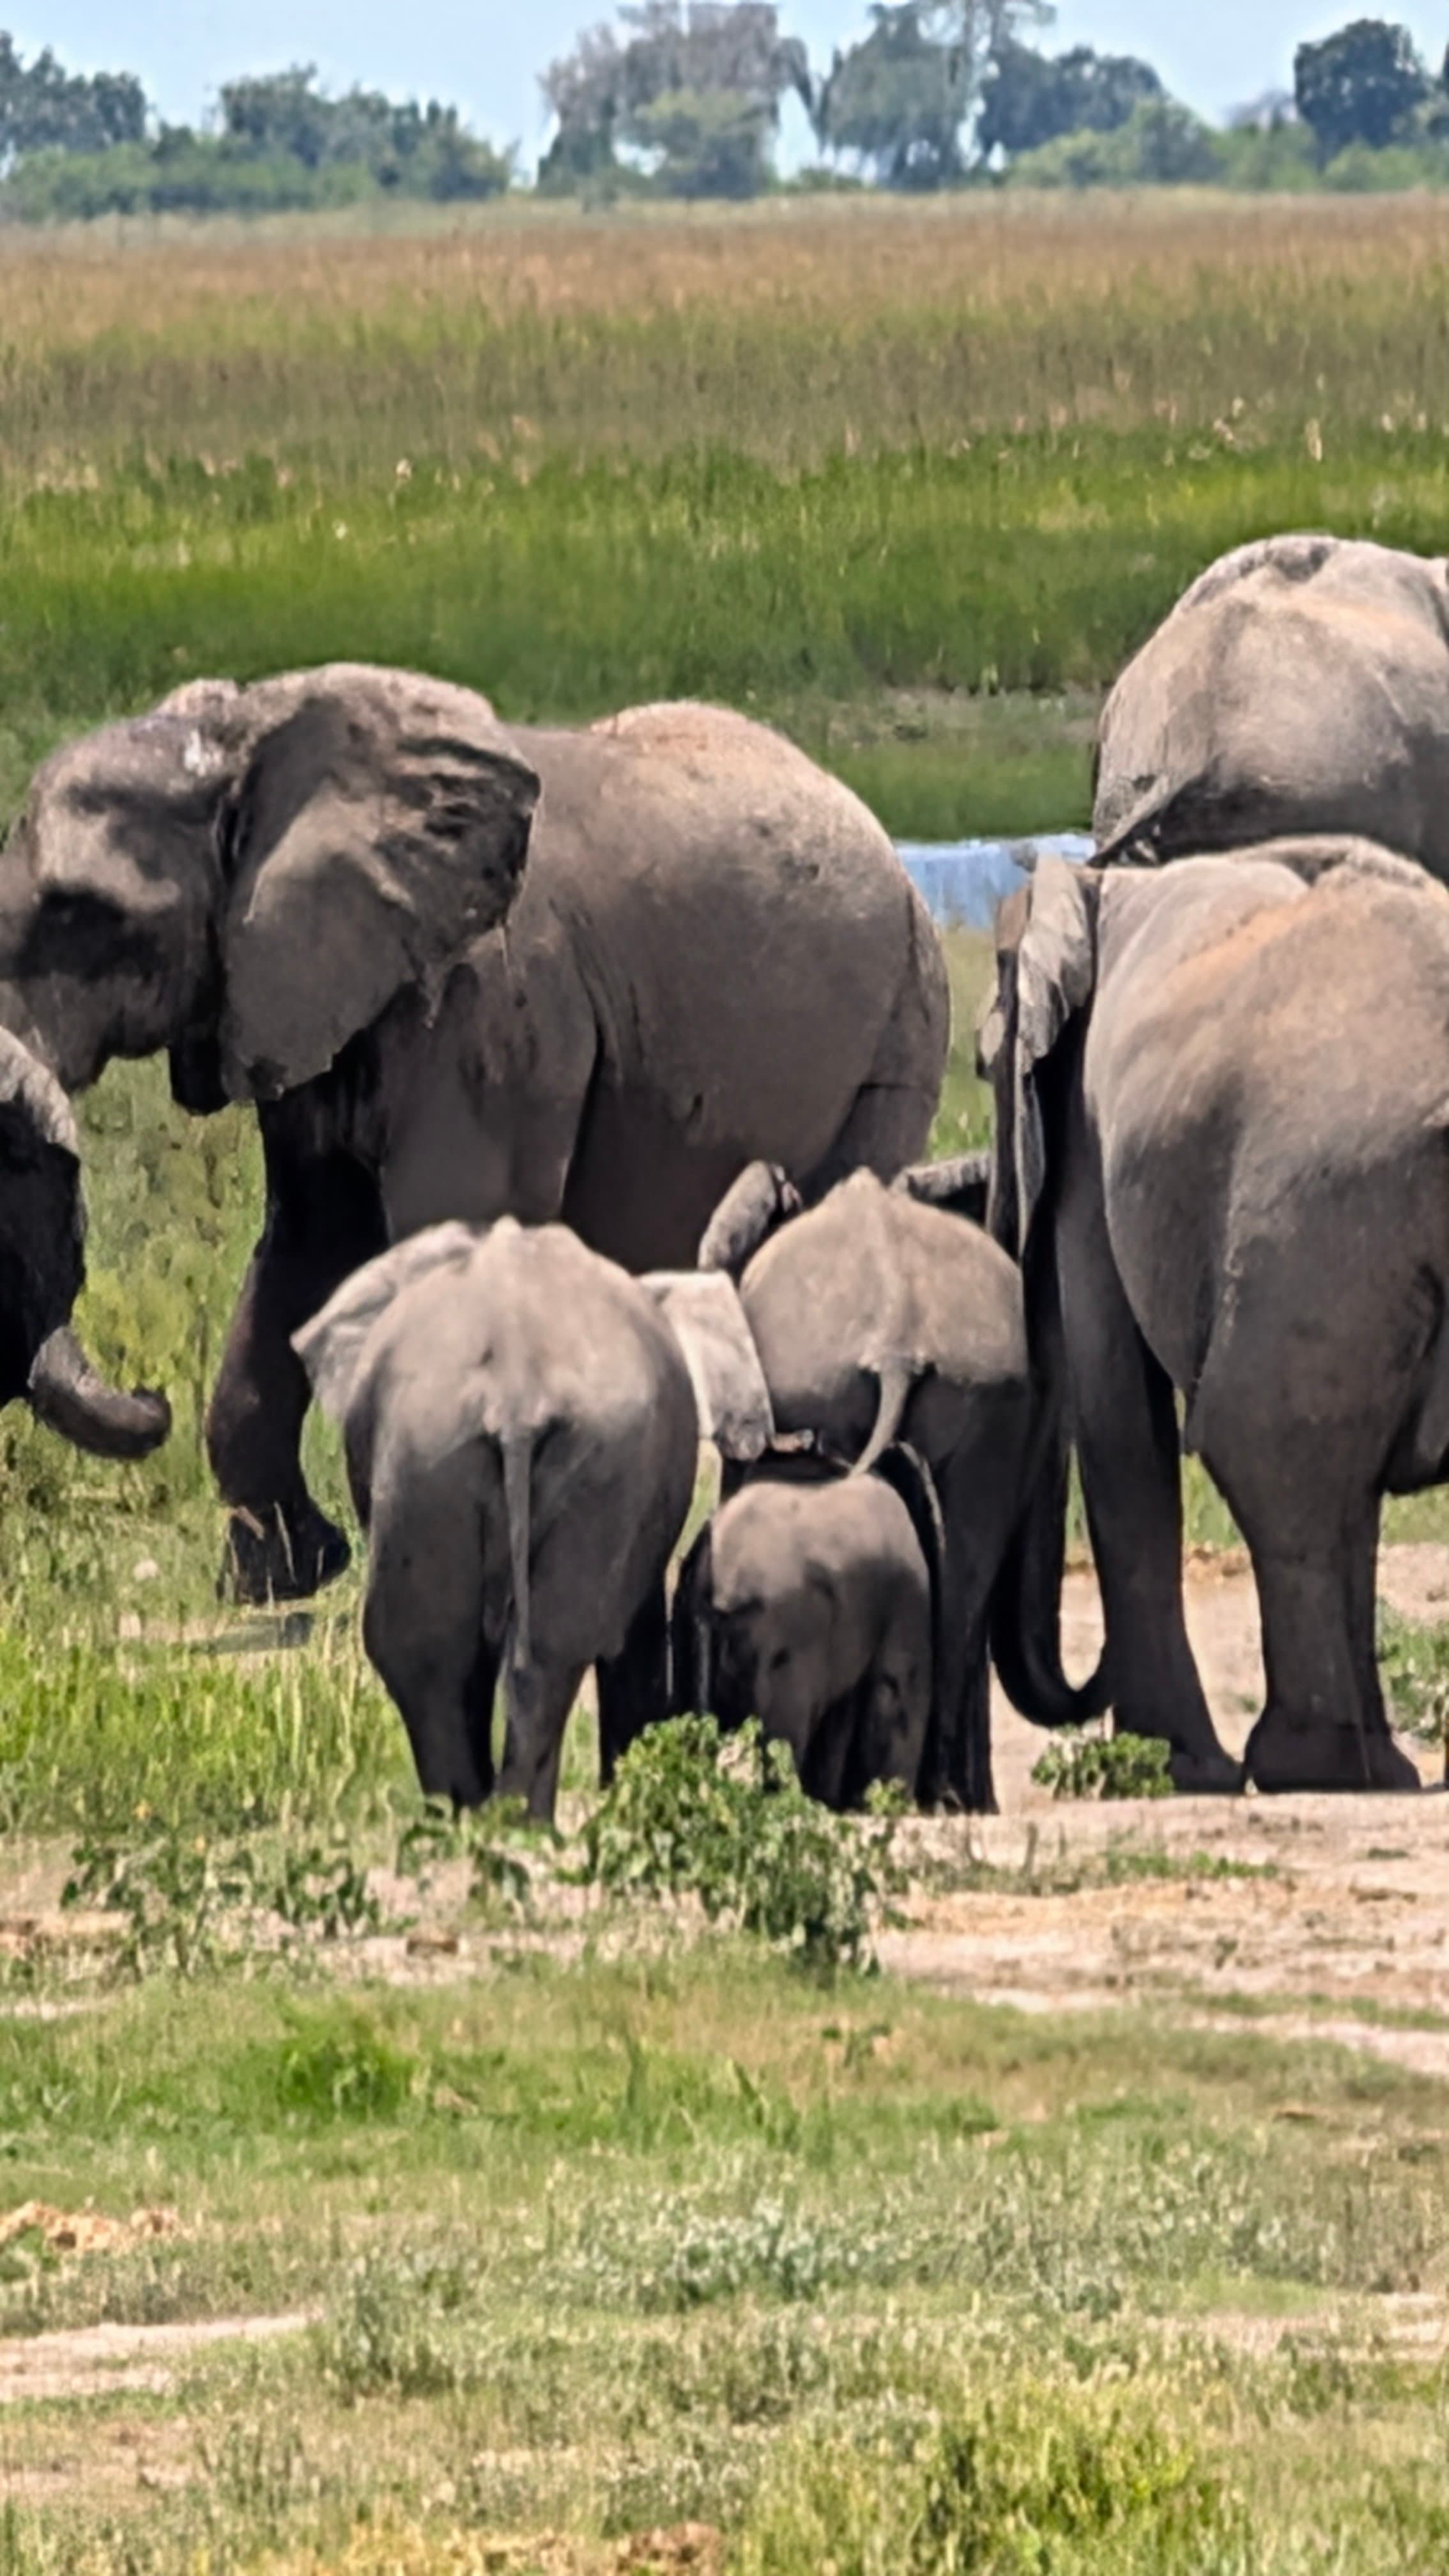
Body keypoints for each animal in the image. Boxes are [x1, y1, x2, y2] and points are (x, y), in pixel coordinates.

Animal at [293, 1216, 772, 1820]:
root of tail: (516, 1385)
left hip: (456, 1454)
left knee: (458, 1650)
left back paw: (484, 1820)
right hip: (519, 1453)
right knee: (522, 1647)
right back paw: (505, 1820)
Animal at [984, 835, 1448, 1796]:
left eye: (978, 1066)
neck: (1095, 886)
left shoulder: (1091, 1143)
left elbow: (1121, 1413)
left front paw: (1177, 1768)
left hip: (1315, 1206)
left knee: (1273, 1455)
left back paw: (1309, 1767)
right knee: (1322, 1469)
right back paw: (1372, 1770)